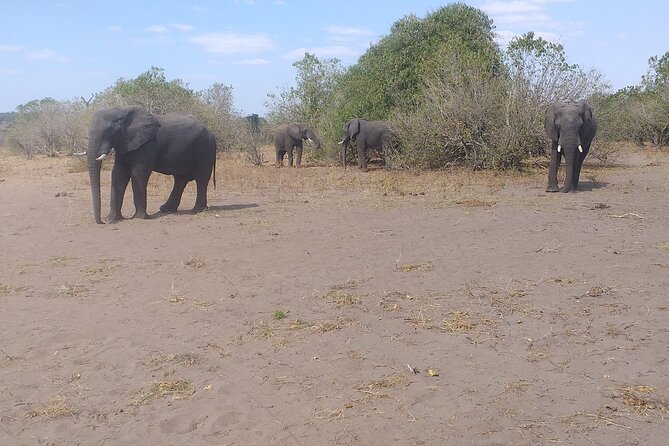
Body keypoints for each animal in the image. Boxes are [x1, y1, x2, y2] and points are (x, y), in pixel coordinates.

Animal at [86, 106, 217, 224]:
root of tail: (210, 132)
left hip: (205, 149)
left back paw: (197, 210)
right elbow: (118, 174)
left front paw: (139, 218)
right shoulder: (124, 144)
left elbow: (138, 173)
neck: (123, 111)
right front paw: (112, 219)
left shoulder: (147, 145)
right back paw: (166, 209)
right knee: (180, 180)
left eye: (109, 131)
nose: (102, 222)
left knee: (201, 179)